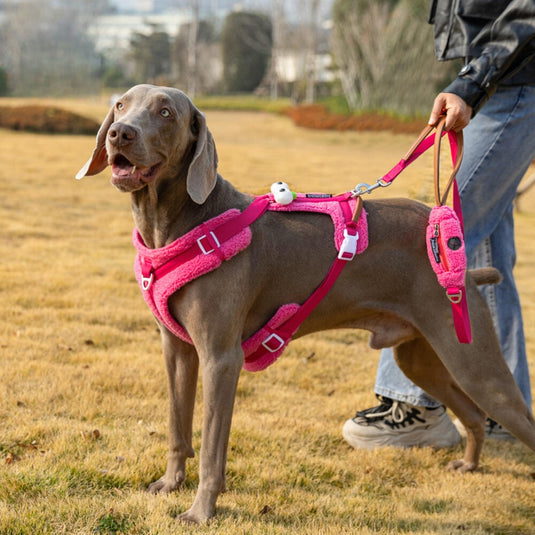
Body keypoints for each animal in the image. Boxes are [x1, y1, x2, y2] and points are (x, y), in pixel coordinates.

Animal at [76, 84, 535, 524]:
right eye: (121, 105)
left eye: (165, 112)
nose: (120, 133)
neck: (177, 224)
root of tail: (464, 268)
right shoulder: (177, 350)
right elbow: (177, 427)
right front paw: (170, 484)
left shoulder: (221, 358)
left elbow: (211, 449)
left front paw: (200, 511)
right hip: (421, 357)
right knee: (470, 414)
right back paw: (470, 465)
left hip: (472, 360)